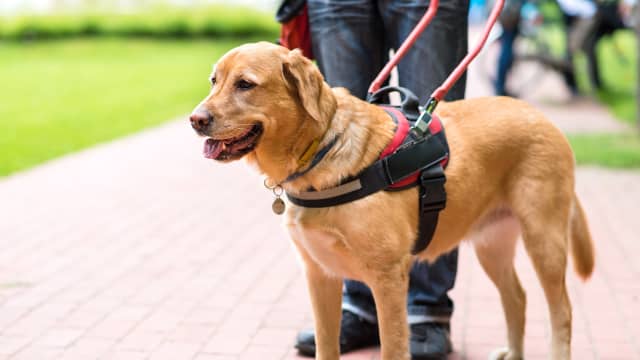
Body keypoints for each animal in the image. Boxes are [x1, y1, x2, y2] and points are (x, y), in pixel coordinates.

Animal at [189, 43, 596, 360]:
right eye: (214, 81)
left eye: (245, 84)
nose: (195, 120)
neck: (321, 151)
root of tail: (542, 117)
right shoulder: (320, 274)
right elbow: (326, 345)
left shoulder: (389, 279)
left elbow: (393, 347)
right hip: (491, 245)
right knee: (518, 298)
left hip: (544, 240)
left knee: (562, 311)